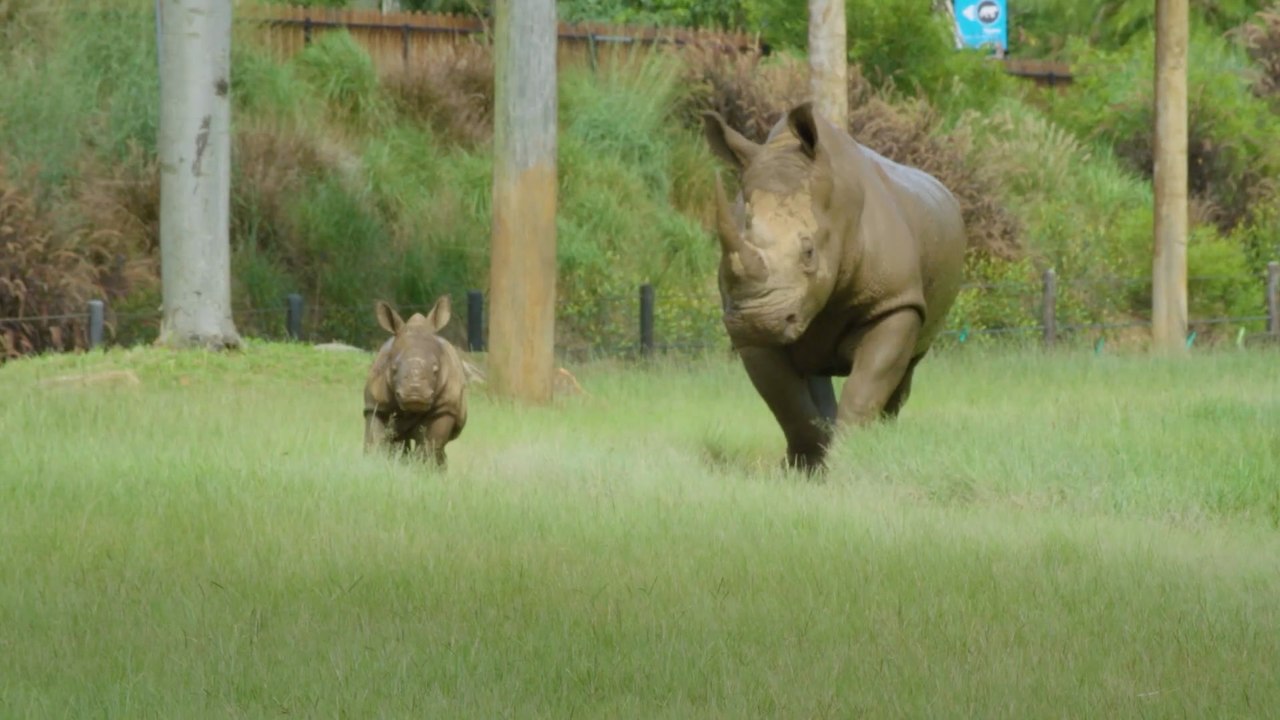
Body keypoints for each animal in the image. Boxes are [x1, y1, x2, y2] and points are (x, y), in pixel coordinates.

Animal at [363, 296, 468, 467]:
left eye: (436, 369)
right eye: (393, 368)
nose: (415, 394)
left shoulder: (445, 408)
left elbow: (430, 446)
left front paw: (424, 470)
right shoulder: (376, 405)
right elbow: (375, 441)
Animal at [702, 102, 966, 471]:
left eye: (809, 252)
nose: (758, 321)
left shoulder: (895, 301)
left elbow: (866, 386)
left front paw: (850, 459)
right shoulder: (748, 330)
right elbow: (786, 400)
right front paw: (806, 468)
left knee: (906, 369)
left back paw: (885, 437)